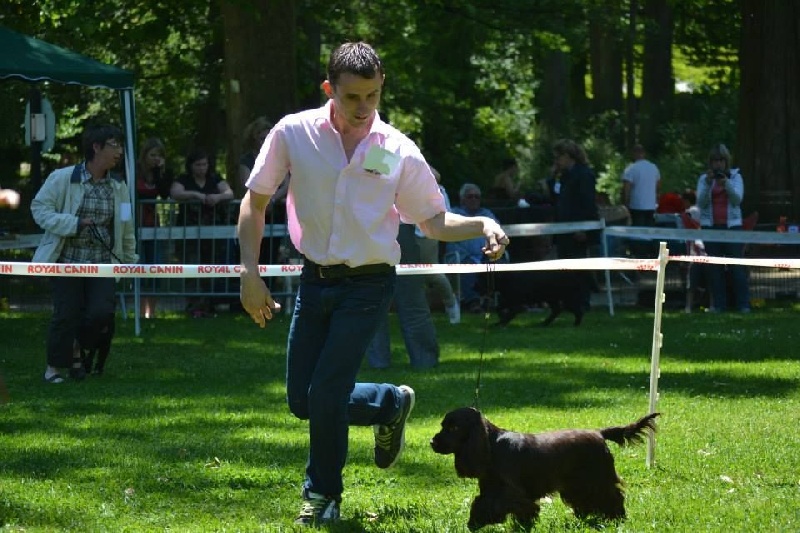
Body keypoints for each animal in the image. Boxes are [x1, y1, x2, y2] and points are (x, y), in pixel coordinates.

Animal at [432, 408, 656, 528]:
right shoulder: (490, 489)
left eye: (453, 427)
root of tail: (599, 433)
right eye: (442, 425)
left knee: (613, 496)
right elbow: (480, 503)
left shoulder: (510, 492)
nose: (432, 442)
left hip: (597, 478)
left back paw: (617, 518)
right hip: (577, 485)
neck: (491, 446)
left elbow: (511, 506)